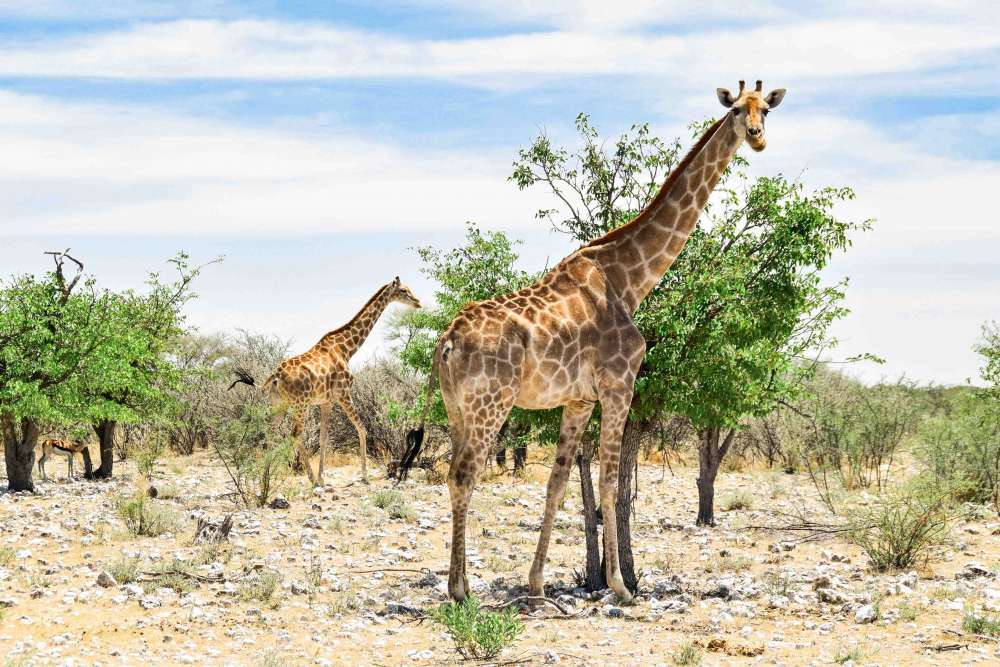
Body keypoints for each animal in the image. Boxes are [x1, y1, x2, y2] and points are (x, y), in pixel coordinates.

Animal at [232, 276, 420, 486]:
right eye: (403, 290)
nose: (418, 302)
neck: (346, 349)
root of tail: (276, 375)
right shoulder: (344, 394)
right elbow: (362, 429)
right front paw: (364, 477)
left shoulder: (326, 401)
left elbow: (323, 438)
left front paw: (323, 477)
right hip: (300, 404)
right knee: (296, 434)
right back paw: (310, 479)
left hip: (278, 404)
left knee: (270, 433)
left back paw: (266, 480)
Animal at [402, 81, 784, 604]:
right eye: (735, 112)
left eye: (766, 109)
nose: (759, 137)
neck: (629, 279)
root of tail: (446, 341)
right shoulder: (619, 384)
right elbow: (609, 484)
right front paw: (621, 586)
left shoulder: (579, 399)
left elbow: (558, 483)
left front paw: (537, 584)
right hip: (491, 404)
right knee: (464, 474)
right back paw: (462, 592)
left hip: (457, 407)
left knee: (457, 475)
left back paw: (458, 584)